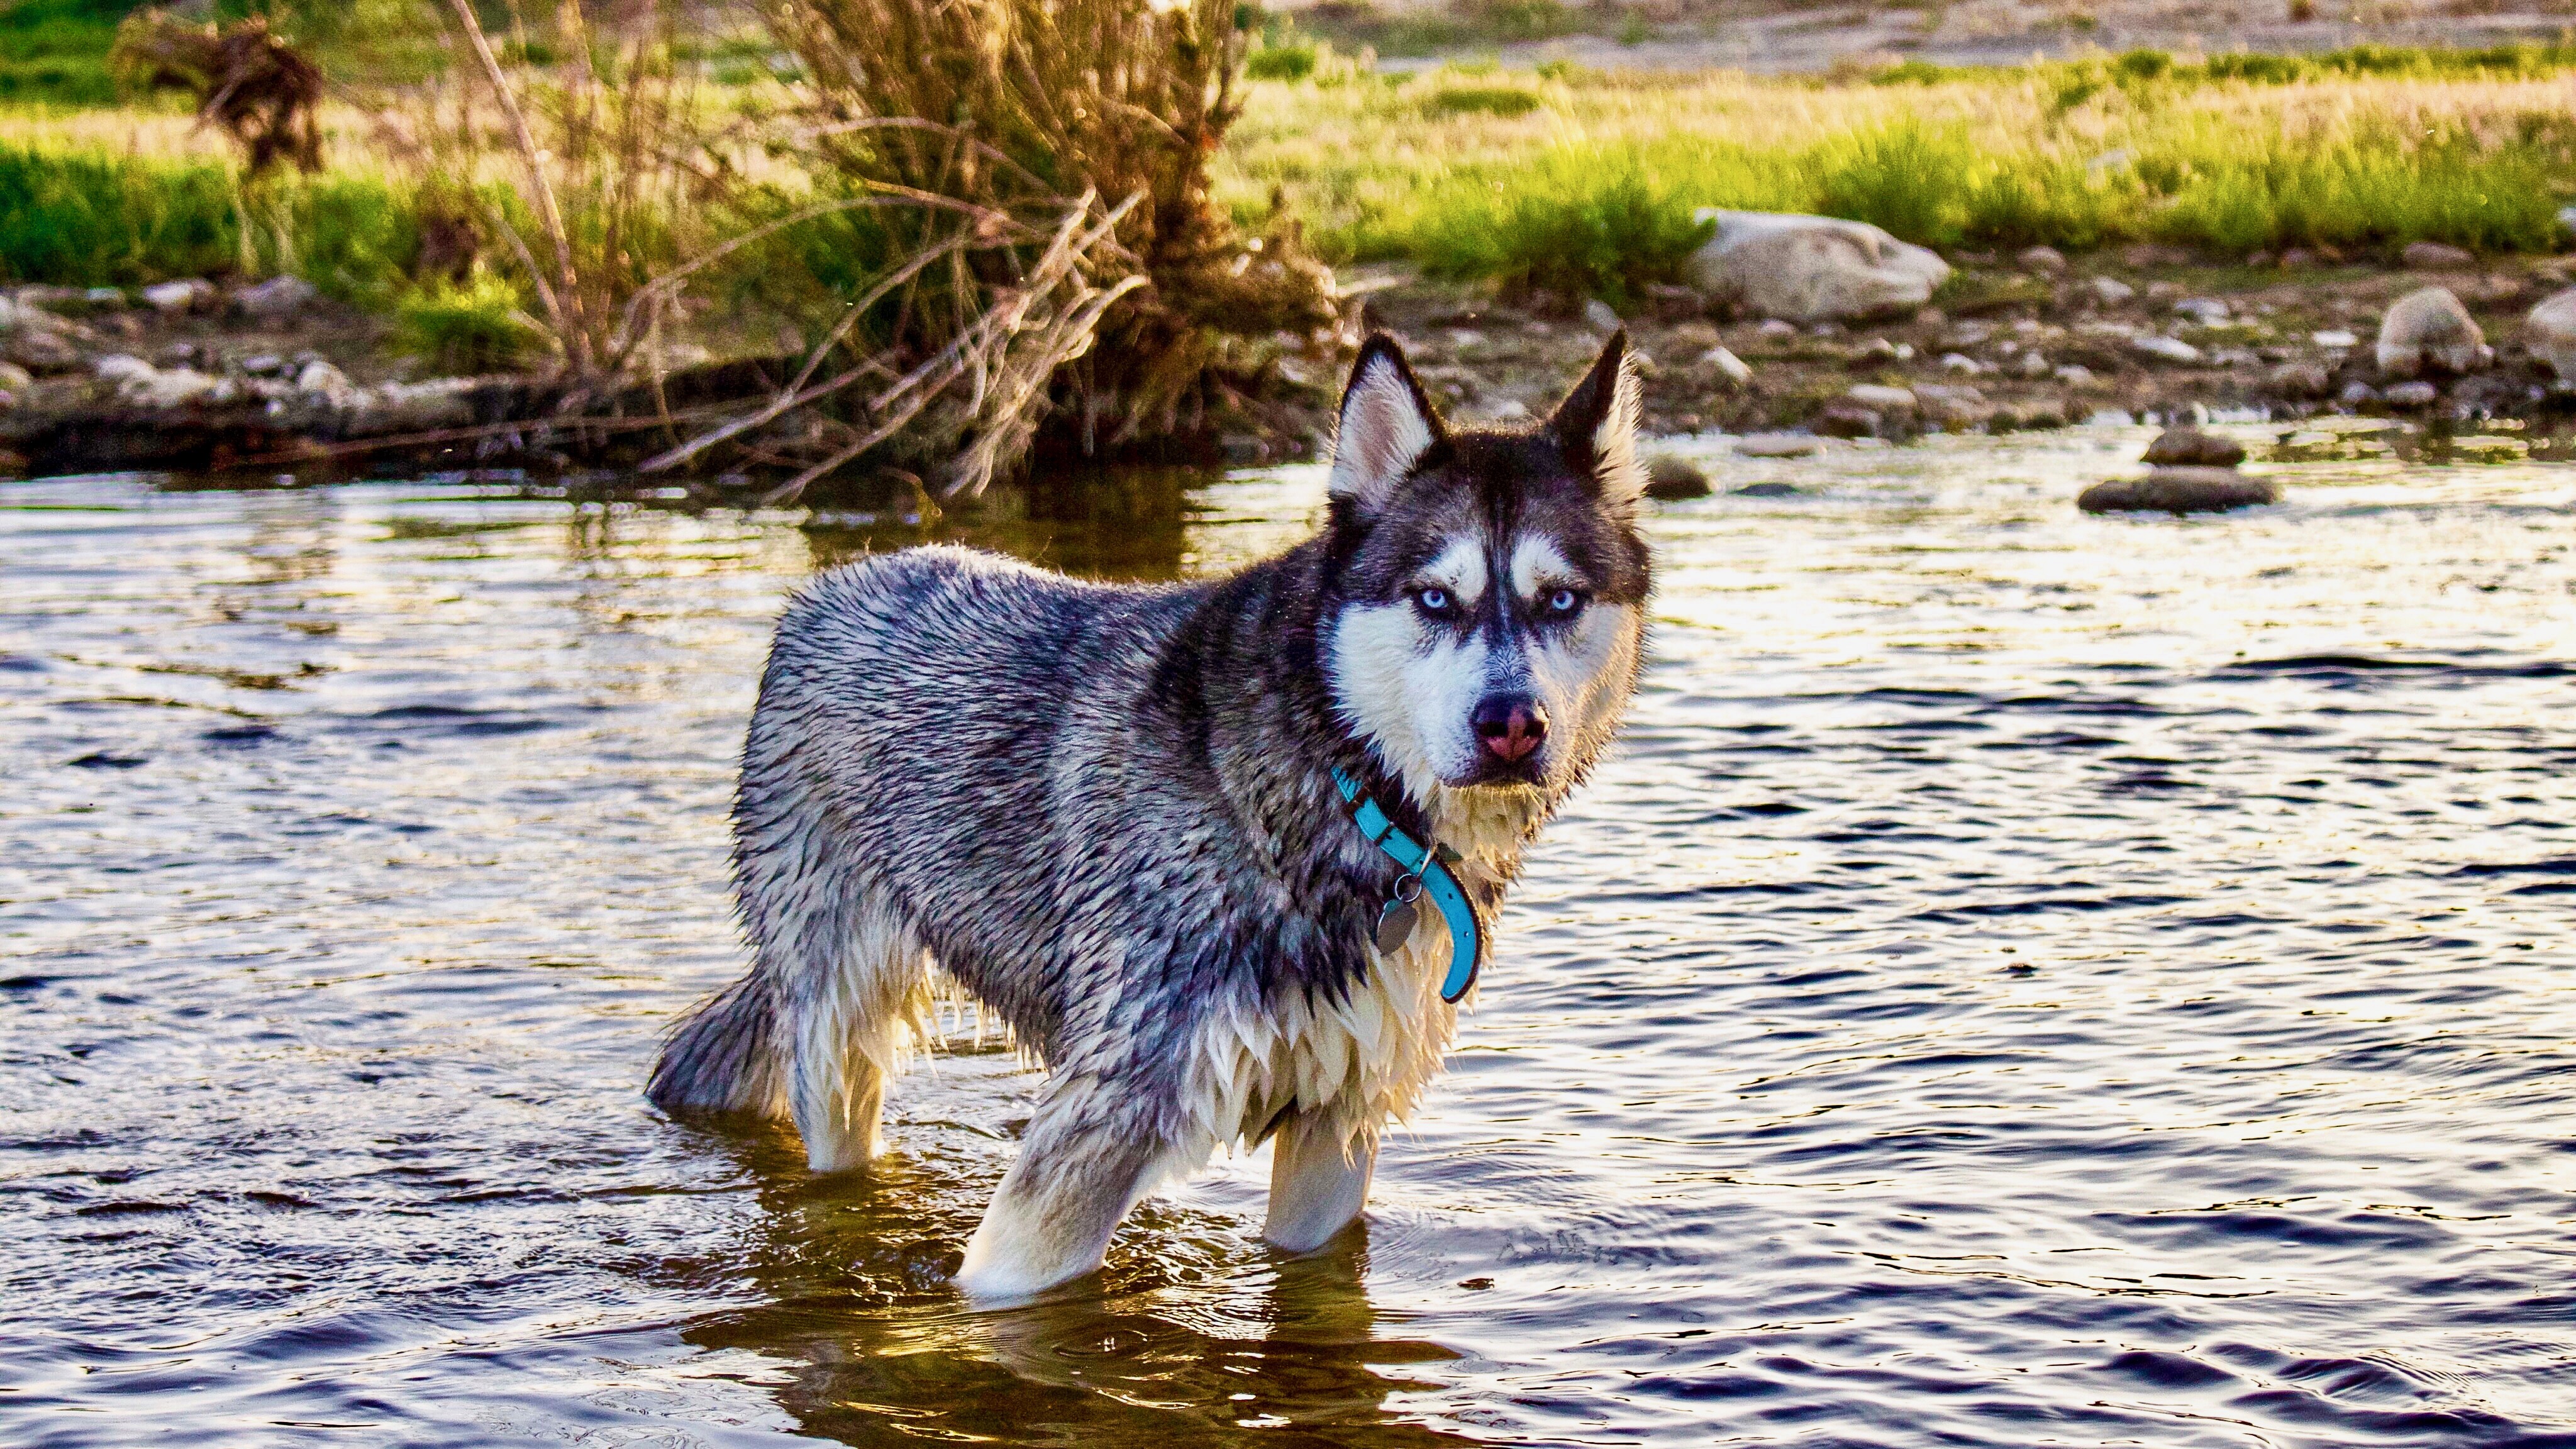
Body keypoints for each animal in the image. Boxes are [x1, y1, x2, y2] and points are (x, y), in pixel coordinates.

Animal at [644, 330, 1648, 1299]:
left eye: (1560, 599)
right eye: (1435, 598)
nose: (1512, 725)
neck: (1340, 786)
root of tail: (828, 588)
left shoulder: (1338, 1127)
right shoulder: (1100, 1122)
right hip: (835, 1041)